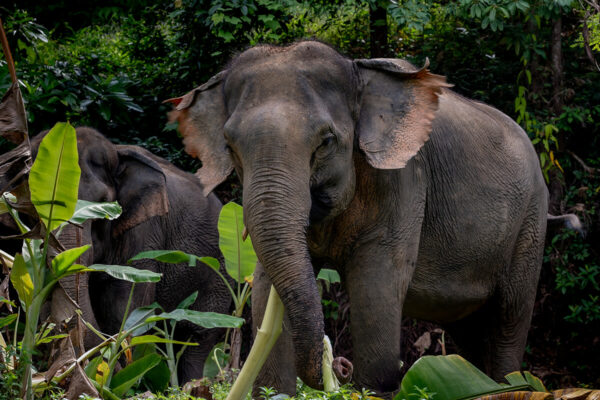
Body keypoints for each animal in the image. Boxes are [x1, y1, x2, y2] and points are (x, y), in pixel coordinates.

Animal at [27, 128, 230, 384]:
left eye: (103, 203)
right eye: (35, 202)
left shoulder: (145, 231)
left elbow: (123, 305)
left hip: (219, 275)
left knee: (197, 338)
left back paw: (189, 385)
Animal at [166, 42, 552, 396]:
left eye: (326, 141)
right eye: (230, 146)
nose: (339, 365)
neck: (358, 73)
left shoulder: (403, 181)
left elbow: (377, 278)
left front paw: (371, 387)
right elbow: (263, 283)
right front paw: (276, 391)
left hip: (531, 221)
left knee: (509, 316)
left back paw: (509, 383)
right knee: (469, 328)